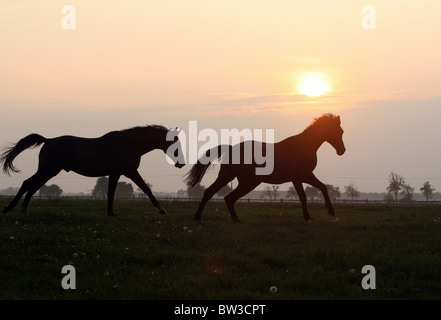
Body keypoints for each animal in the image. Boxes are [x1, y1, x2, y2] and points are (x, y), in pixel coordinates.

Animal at [0, 124, 184, 216]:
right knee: (28, 184)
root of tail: (48, 140)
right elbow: (143, 189)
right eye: (175, 144)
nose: (181, 164)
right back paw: (12, 207)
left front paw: (110, 212)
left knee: (32, 186)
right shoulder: (126, 172)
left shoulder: (120, 173)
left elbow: (115, 192)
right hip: (48, 169)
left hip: (49, 171)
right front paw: (161, 209)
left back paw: (22, 208)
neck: (129, 144)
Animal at [184, 114, 346, 222]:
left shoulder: (296, 178)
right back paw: (234, 220)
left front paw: (307, 217)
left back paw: (201, 217)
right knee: (227, 197)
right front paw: (330, 211)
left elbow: (303, 197)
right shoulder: (305, 175)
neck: (303, 146)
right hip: (248, 181)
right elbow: (322, 187)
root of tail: (230, 148)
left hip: (230, 177)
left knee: (214, 193)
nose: (342, 151)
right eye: (338, 131)